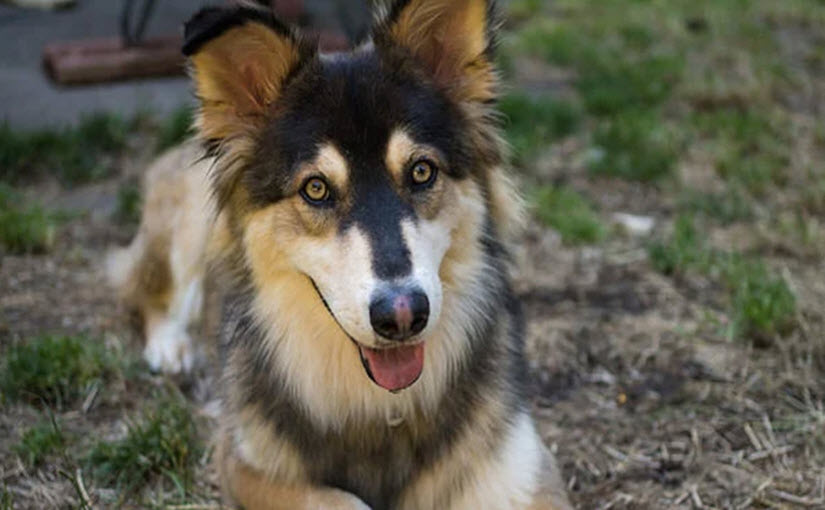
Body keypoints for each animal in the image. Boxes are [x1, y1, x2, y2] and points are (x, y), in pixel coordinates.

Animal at [108, 0, 572, 510]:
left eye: (422, 171)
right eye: (316, 188)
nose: (403, 316)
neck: (379, 404)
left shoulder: (523, 470)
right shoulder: (243, 462)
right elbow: (342, 500)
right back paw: (171, 347)